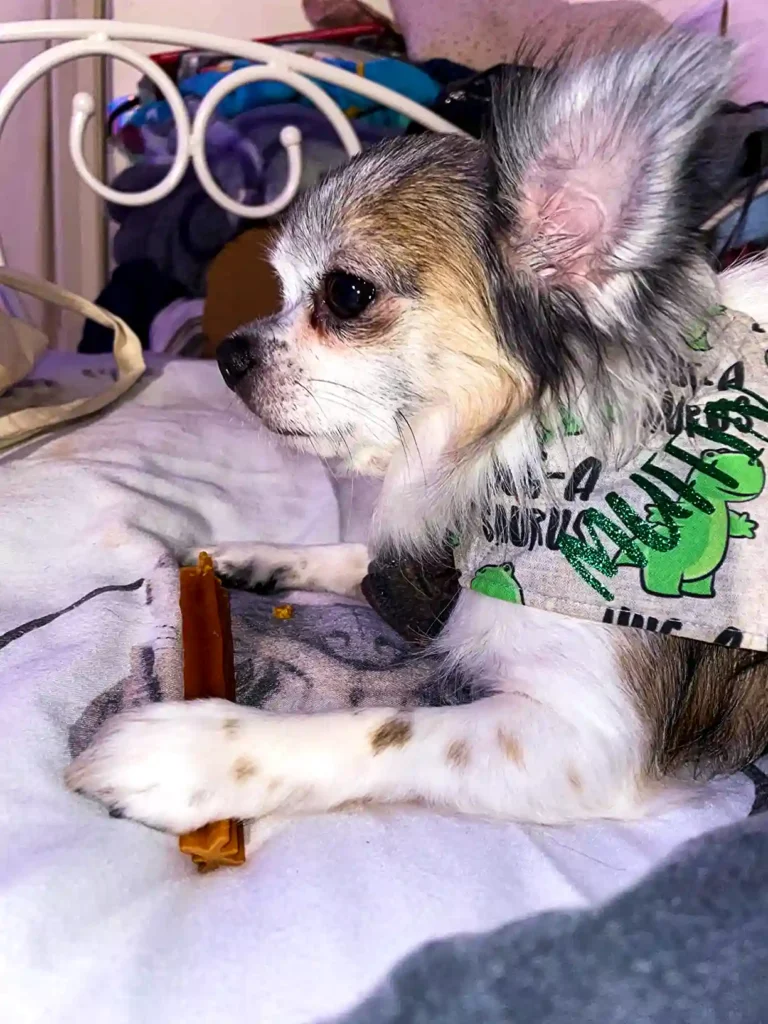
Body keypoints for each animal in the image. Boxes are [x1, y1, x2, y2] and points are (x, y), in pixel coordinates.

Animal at [69, 34, 768, 839]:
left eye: (346, 293)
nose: (228, 355)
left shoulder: (583, 741)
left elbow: (384, 727)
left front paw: (192, 756)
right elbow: (365, 557)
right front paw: (262, 559)